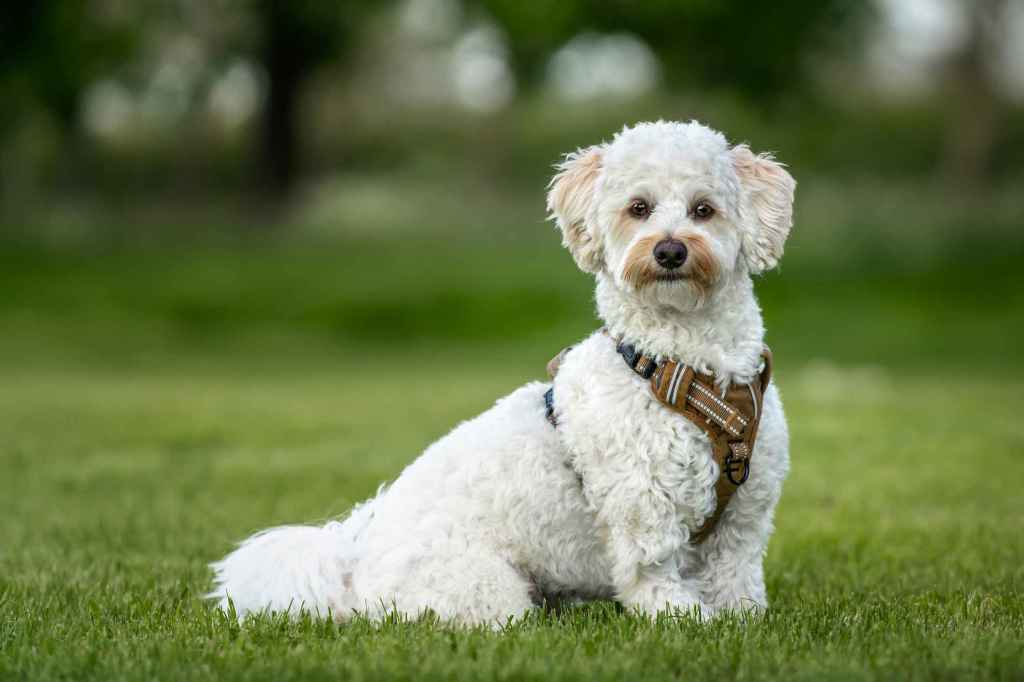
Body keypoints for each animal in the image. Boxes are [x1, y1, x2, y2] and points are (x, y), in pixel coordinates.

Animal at [211, 120, 794, 622]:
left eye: (703, 209)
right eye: (639, 208)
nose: (670, 250)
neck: (683, 368)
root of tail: (353, 561)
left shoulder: (747, 509)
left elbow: (736, 571)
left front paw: (743, 618)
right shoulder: (641, 503)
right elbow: (653, 571)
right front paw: (684, 618)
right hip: (486, 587)